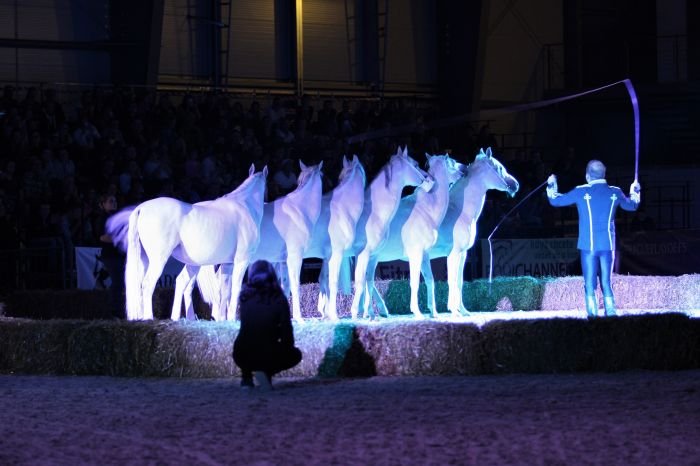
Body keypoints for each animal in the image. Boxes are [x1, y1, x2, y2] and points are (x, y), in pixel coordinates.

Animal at [123, 164, 268, 321]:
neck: (244, 206)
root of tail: (141, 208)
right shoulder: (242, 259)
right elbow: (236, 288)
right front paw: (232, 318)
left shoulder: (227, 263)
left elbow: (225, 290)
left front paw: (222, 318)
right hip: (159, 259)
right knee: (148, 283)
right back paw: (149, 317)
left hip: (146, 259)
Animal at [348, 147, 435, 319]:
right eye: (415, 164)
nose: (428, 178)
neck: (371, 212)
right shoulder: (364, 253)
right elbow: (361, 280)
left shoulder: (366, 255)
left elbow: (367, 281)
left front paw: (367, 312)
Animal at [364, 153, 467, 319]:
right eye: (451, 162)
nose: (464, 170)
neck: (426, 208)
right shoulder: (415, 254)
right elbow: (414, 282)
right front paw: (417, 312)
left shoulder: (424, 254)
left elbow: (430, 280)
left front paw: (434, 313)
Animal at [429, 147, 519, 315]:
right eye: (499, 168)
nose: (515, 184)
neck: (459, 212)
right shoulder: (454, 253)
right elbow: (452, 281)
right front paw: (454, 311)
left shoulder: (463, 254)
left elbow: (459, 281)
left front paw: (464, 311)